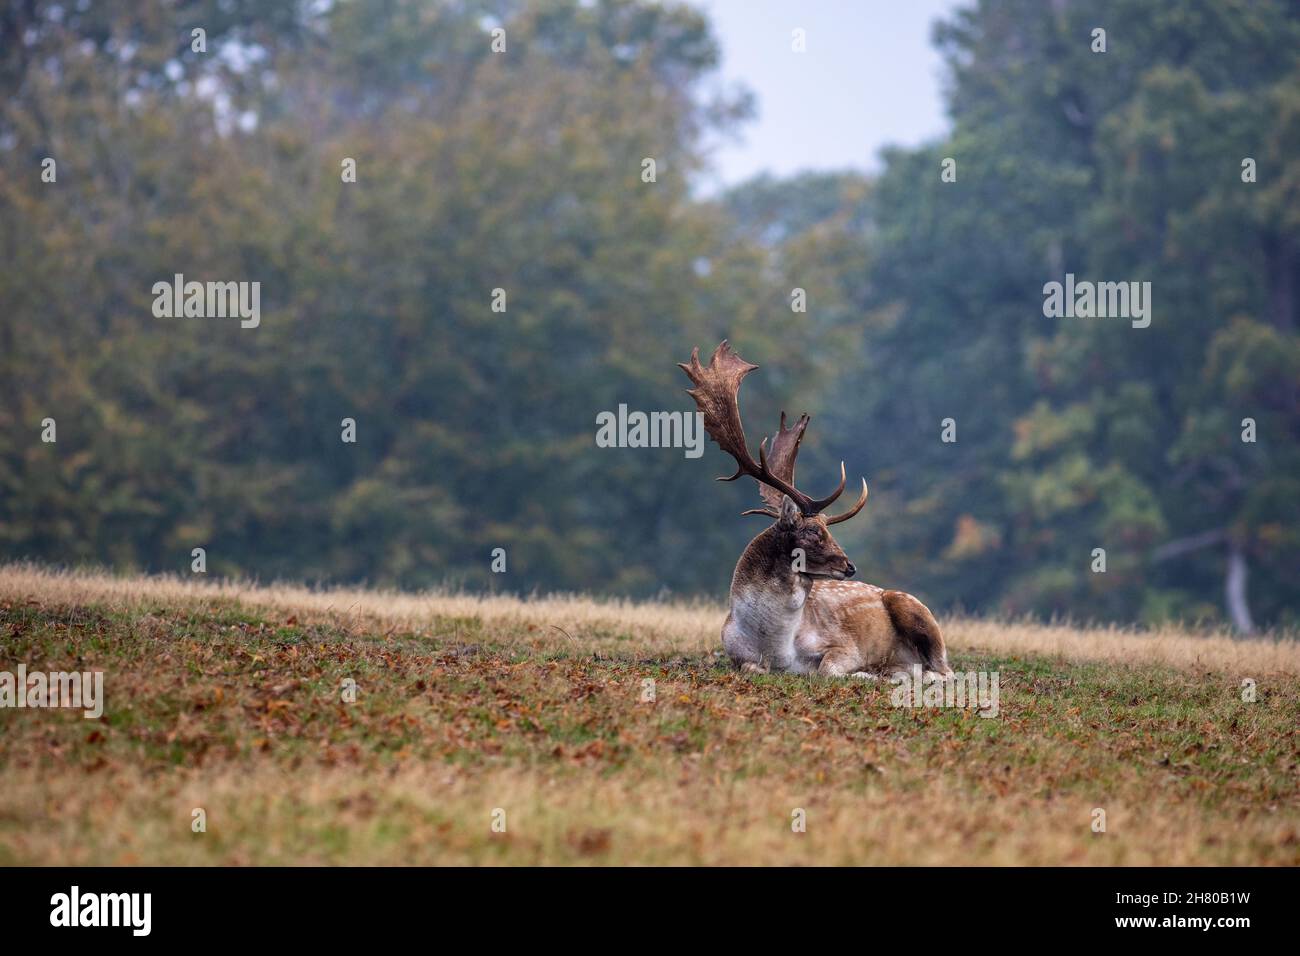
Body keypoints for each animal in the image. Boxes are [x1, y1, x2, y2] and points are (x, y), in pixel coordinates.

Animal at [681, 343, 956, 681]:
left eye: (828, 529)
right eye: (812, 531)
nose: (850, 566)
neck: (775, 649)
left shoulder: (844, 645)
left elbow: (825, 670)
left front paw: (865, 674)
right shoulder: (735, 654)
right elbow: (752, 668)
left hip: (916, 611)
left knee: (943, 670)